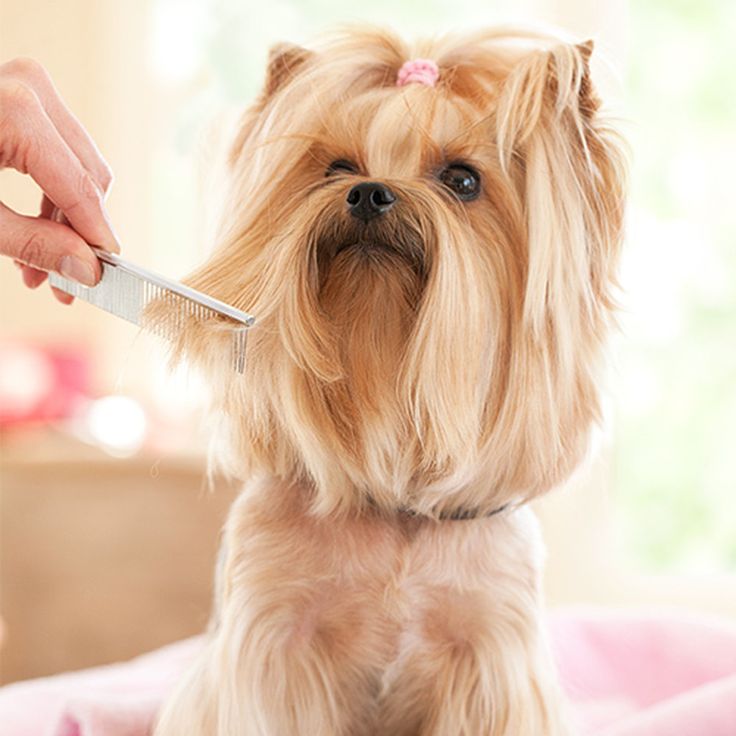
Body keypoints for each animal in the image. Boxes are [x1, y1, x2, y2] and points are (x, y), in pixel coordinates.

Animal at [155, 24, 628, 736]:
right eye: (336, 169)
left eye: (462, 179)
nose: (369, 192)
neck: (392, 501)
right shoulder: (277, 644)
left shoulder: (487, 657)